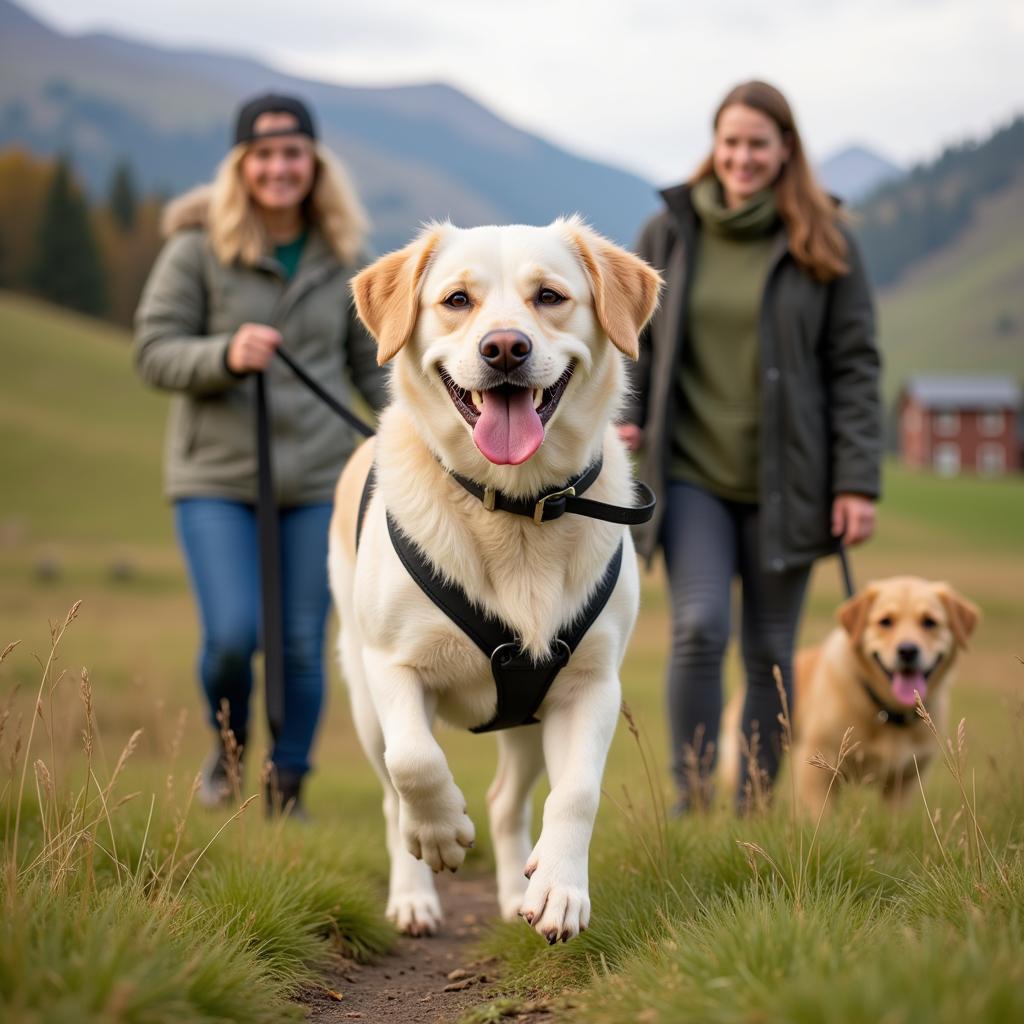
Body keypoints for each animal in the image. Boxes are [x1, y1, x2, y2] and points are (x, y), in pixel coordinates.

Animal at [329, 216, 663, 942]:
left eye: (550, 296)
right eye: (457, 300)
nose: (505, 348)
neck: (513, 508)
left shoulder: (590, 684)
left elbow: (577, 793)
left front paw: (559, 889)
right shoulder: (391, 665)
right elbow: (415, 763)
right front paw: (442, 835)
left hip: (529, 718)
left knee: (508, 800)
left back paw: (516, 893)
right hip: (362, 698)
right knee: (393, 800)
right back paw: (415, 898)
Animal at [786, 577, 978, 815]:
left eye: (929, 622)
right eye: (885, 621)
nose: (907, 651)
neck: (888, 711)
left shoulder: (905, 781)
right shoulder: (817, 768)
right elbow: (820, 815)